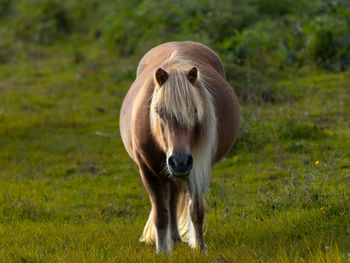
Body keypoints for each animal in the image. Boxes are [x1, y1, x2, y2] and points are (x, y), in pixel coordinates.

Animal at [120, 41, 241, 254]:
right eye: (158, 111)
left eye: (195, 111)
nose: (180, 162)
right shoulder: (148, 172)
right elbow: (161, 214)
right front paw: (162, 252)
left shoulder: (197, 168)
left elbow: (196, 210)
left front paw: (200, 249)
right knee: (170, 203)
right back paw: (173, 239)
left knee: (174, 200)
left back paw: (176, 238)